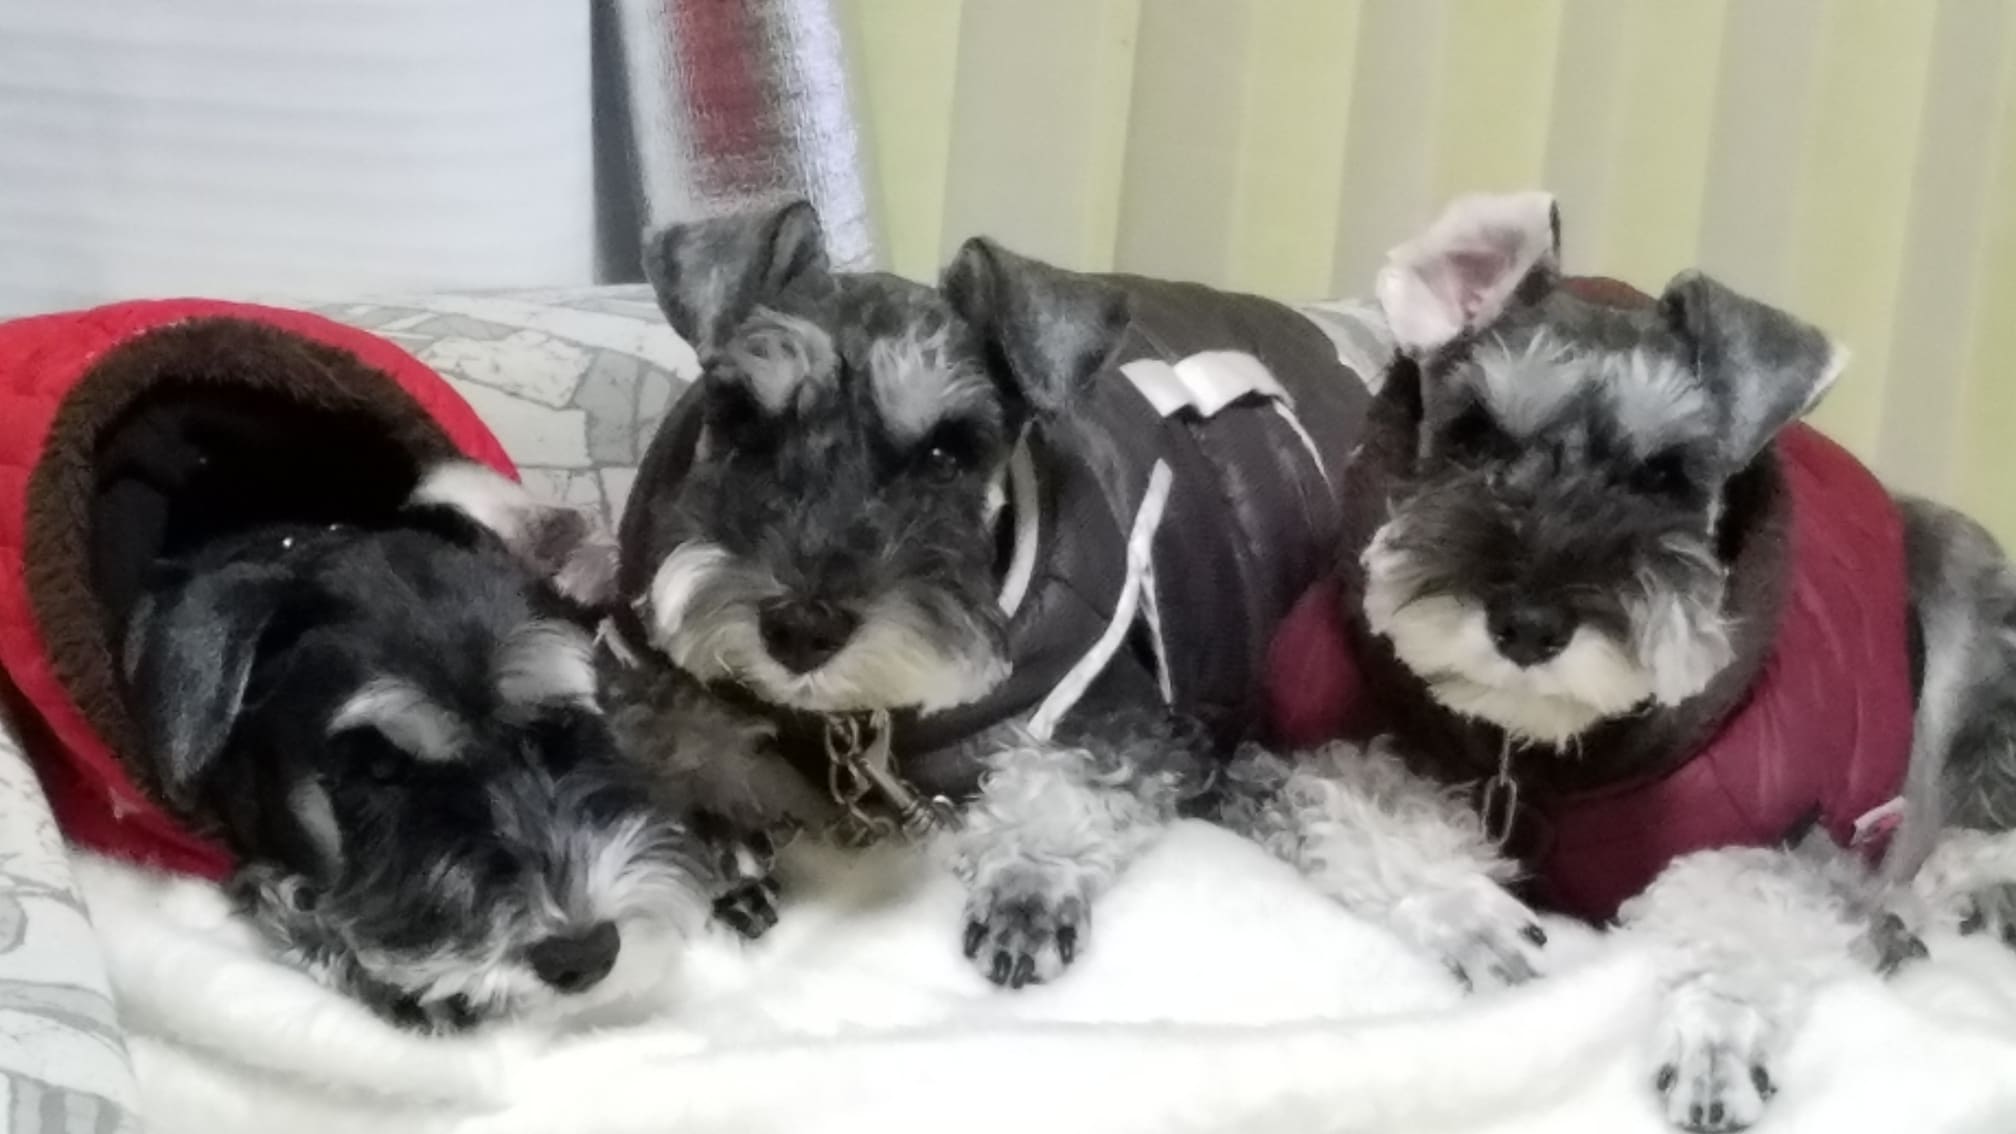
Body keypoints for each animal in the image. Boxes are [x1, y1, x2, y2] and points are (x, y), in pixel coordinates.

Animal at [603, 200, 1369, 987]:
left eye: (946, 454)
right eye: (744, 423)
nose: (801, 628)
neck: (847, 723)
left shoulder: (1116, 716)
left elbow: (1065, 783)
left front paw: (1028, 887)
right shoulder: (648, 680)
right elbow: (681, 749)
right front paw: (722, 849)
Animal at [1217, 192, 2016, 1131]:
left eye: (1666, 476)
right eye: (1474, 436)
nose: (1527, 626)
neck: (1536, 754)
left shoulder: (1784, 841)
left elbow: (1740, 903)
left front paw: (1716, 1034)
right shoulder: (1290, 753)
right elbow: (1359, 803)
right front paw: (1468, 914)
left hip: (1966, 598)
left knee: (1947, 829)